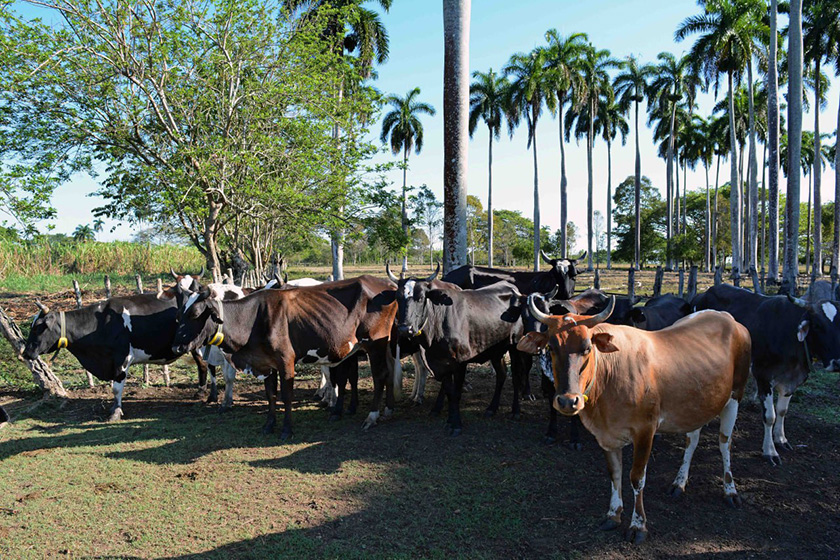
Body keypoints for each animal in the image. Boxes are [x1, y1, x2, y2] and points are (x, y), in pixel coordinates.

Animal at [23, 294, 207, 420]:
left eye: (38, 327)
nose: (25, 353)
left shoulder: (122, 358)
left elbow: (117, 388)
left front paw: (116, 413)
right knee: (202, 365)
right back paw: (200, 392)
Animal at [171, 274, 400, 440]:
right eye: (180, 313)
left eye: (195, 314)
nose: (176, 346)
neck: (253, 318)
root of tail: (388, 284)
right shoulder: (266, 365)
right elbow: (271, 395)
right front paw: (269, 425)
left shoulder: (286, 362)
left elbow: (286, 396)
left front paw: (287, 429)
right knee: (382, 373)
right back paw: (385, 410)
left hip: (376, 343)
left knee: (380, 375)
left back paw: (372, 416)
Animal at [516, 300, 752, 544]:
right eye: (551, 348)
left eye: (587, 348)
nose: (567, 400)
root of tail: (726, 317)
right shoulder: (606, 436)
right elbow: (615, 473)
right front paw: (613, 514)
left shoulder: (645, 430)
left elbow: (637, 477)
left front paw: (638, 526)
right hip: (696, 402)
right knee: (692, 440)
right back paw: (679, 483)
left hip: (736, 393)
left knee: (725, 442)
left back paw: (730, 490)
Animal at [692, 284, 840, 464]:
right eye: (818, 325)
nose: (837, 363)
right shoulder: (764, 376)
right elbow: (770, 416)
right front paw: (770, 451)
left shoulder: (792, 381)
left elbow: (782, 411)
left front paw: (781, 439)